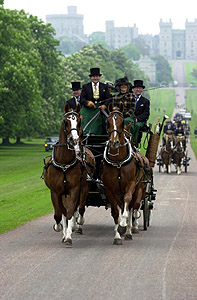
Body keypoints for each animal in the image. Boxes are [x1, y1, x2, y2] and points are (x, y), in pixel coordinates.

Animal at [43, 102, 95, 244]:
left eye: (79, 121)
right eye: (65, 121)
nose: (74, 140)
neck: (64, 163)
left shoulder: (74, 189)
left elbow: (71, 212)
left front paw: (69, 235)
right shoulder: (56, 192)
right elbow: (59, 214)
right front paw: (60, 228)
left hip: (84, 188)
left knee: (79, 208)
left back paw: (77, 224)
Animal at [101, 102, 150, 244]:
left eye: (122, 122)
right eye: (107, 122)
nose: (114, 142)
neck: (118, 161)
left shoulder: (131, 184)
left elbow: (128, 204)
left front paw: (124, 223)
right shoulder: (110, 189)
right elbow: (115, 211)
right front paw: (117, 236)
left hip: (140, 188)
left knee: (134, 205)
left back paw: (129, 230)